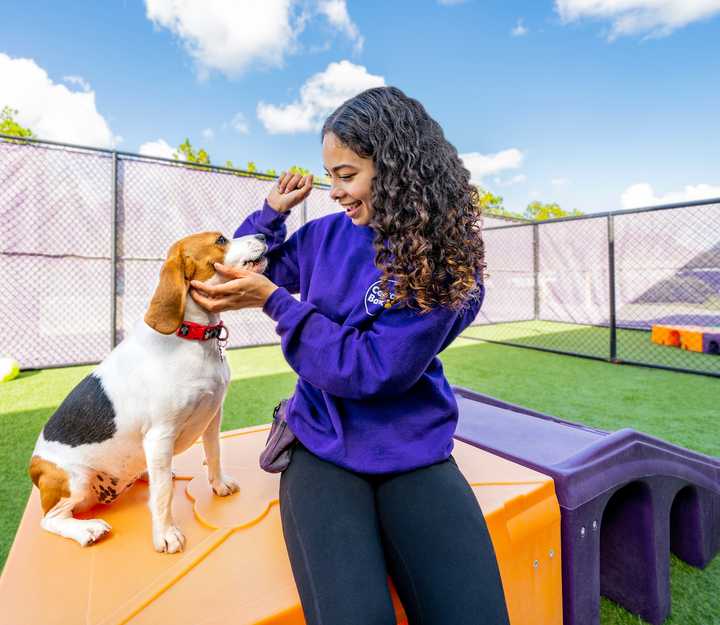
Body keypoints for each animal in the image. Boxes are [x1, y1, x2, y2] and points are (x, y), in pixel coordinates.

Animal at [29, 232, 268, 552]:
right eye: (220, 240)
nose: (264, 235)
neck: (192, 338)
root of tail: (34, 466)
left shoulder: (212, 415)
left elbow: (214, 454)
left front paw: (218, 485)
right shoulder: (160, 435)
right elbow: (164, 493)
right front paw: (166, 534)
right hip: (75, 479)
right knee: (49, 520)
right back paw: (86, 528)